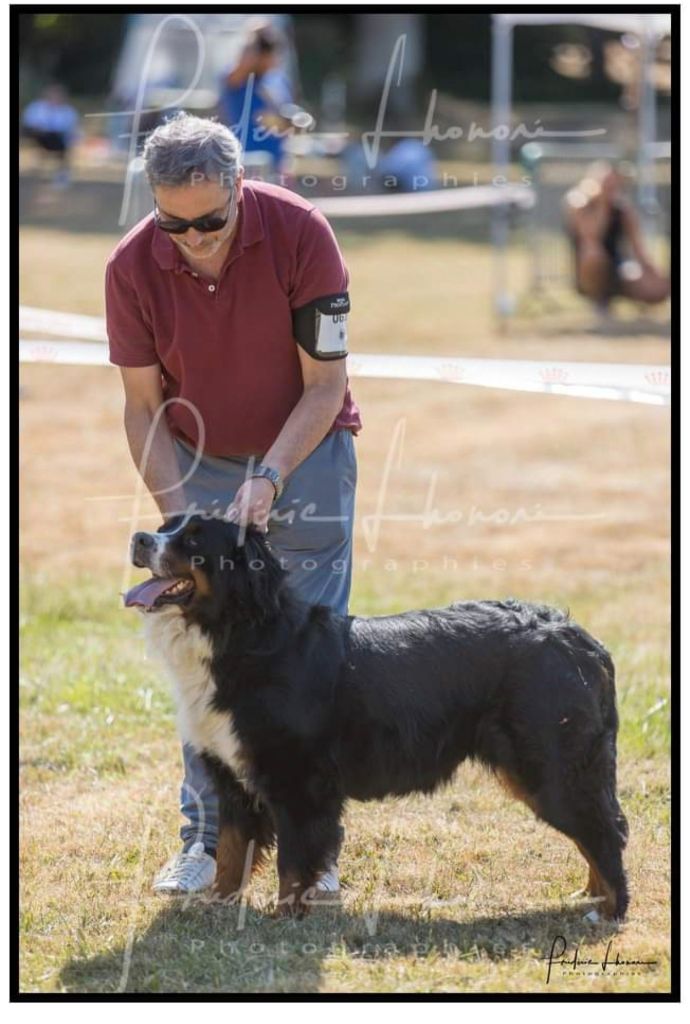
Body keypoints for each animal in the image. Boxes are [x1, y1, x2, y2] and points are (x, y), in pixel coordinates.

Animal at [124, 512, 630, 921]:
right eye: (167, 525)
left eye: (193, 538)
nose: (139, 538)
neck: (239, 634)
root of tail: (580, 639)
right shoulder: (231, 775)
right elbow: (231, 850)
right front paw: (217, 905)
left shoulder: (297, 780)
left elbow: (293, 860)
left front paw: (285, 917)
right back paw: (589, 896)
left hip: (550, 765)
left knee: (603, 831)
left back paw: (608, 911)